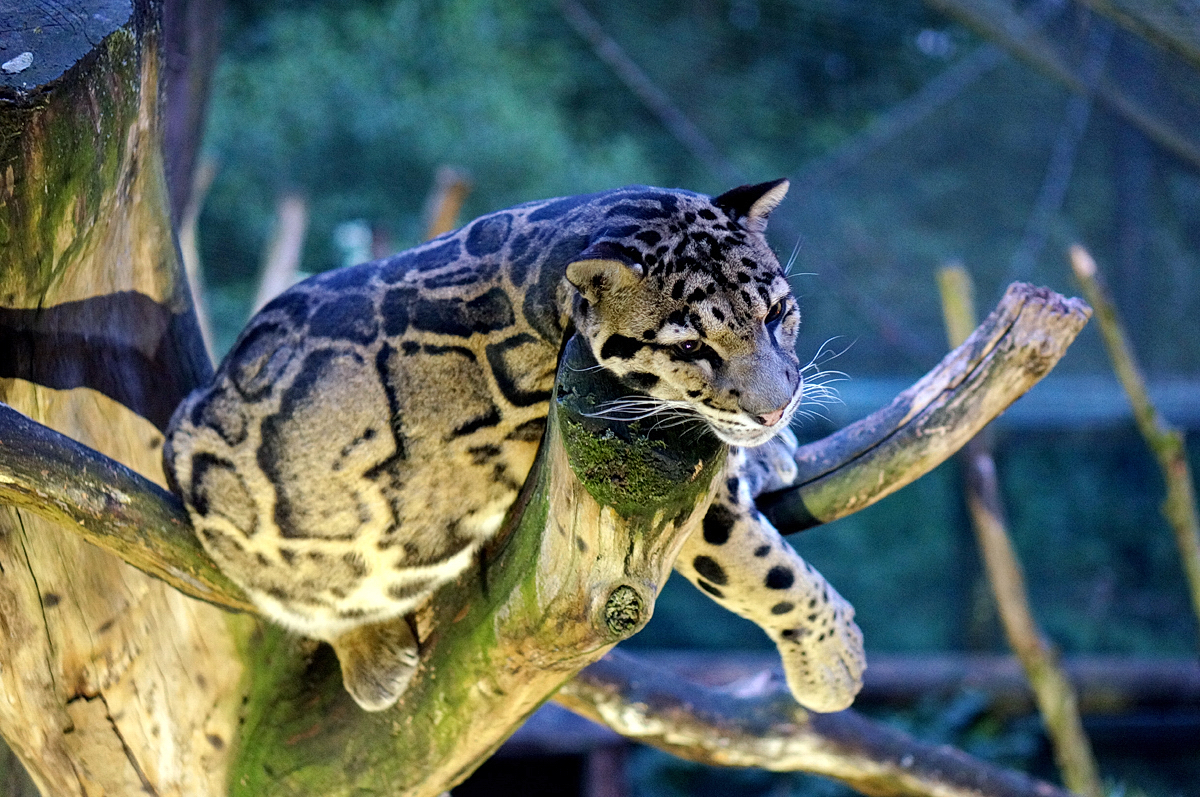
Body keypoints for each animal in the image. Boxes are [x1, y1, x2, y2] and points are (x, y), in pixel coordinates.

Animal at [164, 183, 868, 710]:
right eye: (692, 346)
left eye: (776, 313)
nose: (775, 406)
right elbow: (761, 569)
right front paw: (833, 659)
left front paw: (770, 450)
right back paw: (372, 654)